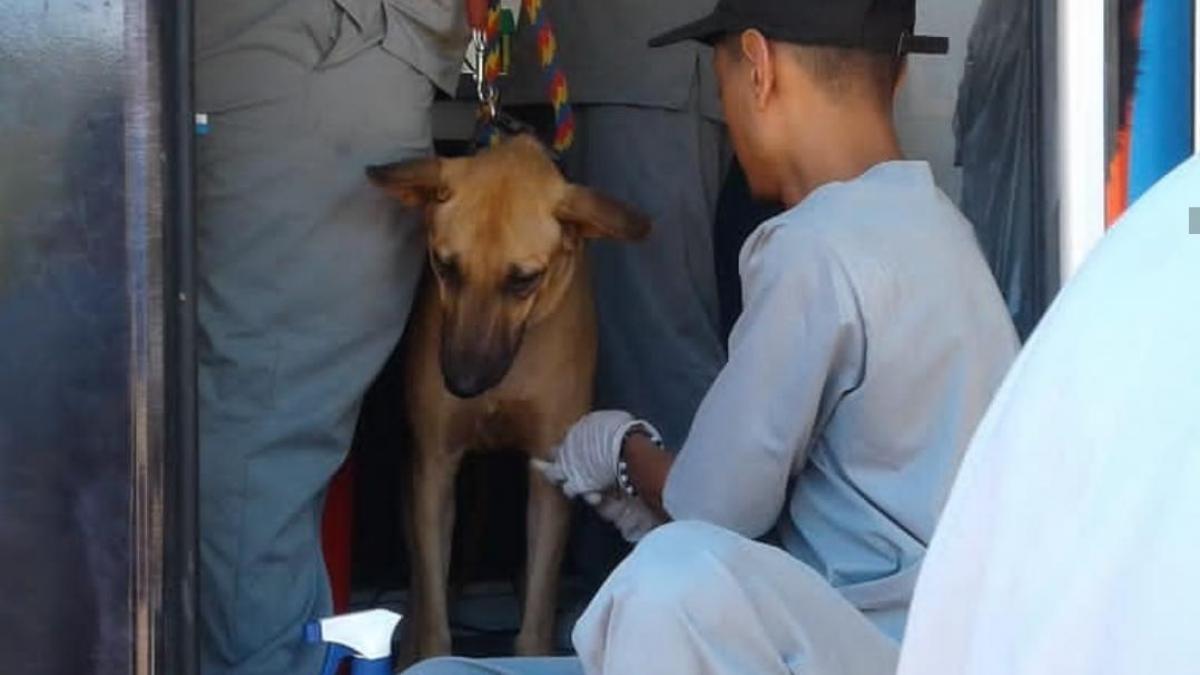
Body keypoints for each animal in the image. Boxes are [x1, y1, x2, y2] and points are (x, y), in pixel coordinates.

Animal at [369, 135, 652, 658]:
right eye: (445, 266)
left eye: (523, 280)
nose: (462, 385)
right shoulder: (434, 466)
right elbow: (435, 614)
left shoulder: (549, 476)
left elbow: (536, 615)